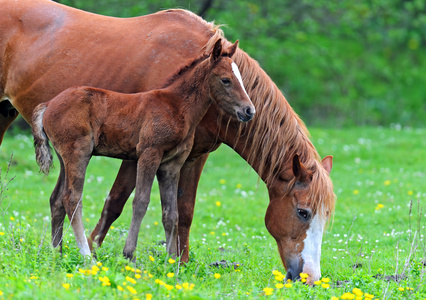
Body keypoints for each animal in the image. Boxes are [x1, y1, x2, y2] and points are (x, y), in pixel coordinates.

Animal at [32, 40, 253, 258]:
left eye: (241, 79)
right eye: (226, 80)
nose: (249, 110)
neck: (177, 107)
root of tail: (48, 103)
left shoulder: (171, 164)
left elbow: (171, 212)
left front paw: (172, 260)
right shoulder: (149, 154)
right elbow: (140, 202)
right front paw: (129, 253)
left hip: (64, 157)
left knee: (56, 199)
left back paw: (56, 254)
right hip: (79, 153)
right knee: (72, 198)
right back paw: (86, 256)